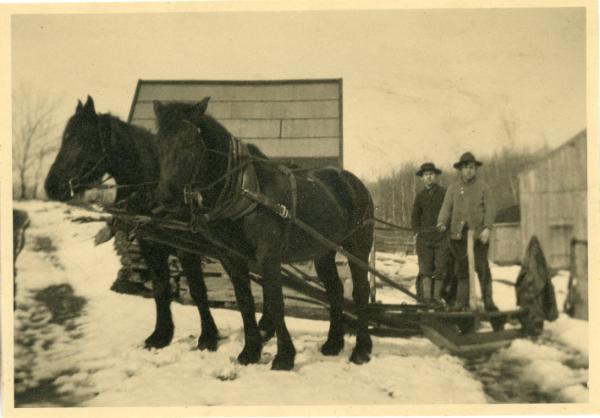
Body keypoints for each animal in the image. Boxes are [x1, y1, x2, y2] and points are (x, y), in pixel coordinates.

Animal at [152, 98, 372, 370]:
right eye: (159, 143)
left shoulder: (268, 255)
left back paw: (362, 350)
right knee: (335, 290)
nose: (165, 197)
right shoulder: (231, 257)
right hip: (324, 251)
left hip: (357, 248)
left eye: (189, 142)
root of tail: (354, 183)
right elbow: (245, 300)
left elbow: (275, 301)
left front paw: (284, 357)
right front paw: (250, 352)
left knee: (361, 291)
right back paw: (333, 344)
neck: (244, 188)